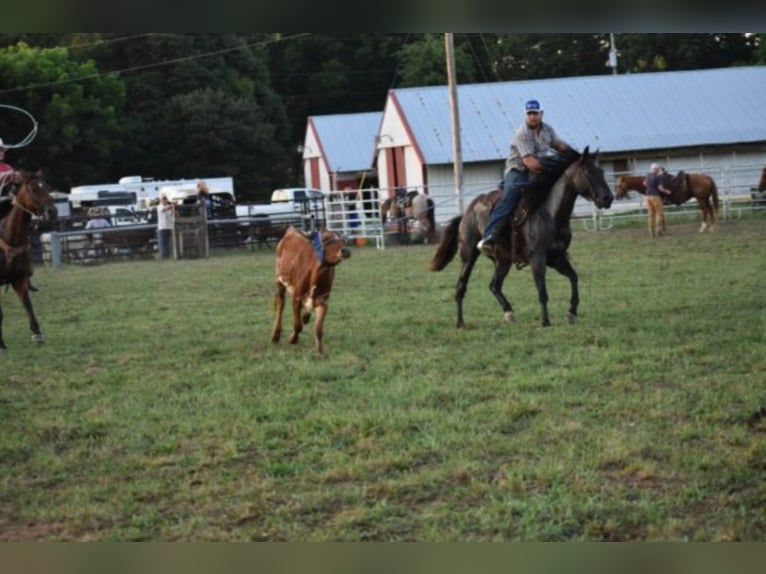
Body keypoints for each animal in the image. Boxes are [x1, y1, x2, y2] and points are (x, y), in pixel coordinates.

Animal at [0, 171, 56, 352]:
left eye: (47, 187)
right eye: (33, 189)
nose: (52, 211)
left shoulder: (19, 279)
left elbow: (28, 305)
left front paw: (37, 334)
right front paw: (1, 344)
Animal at [272, 226, 352, 354]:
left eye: (343, 240)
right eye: (325, 239)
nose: (346, 250)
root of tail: (290, 230)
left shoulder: (323, 301)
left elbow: (318, 329)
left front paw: (320, 351)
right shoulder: (296, 299)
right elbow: (297, 325)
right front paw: (292, 339)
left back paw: (305, 316)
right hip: (279, 281)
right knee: (280, 304)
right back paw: (275, 335)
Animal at [432, 146, 616, 330]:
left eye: (601, 170)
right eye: (588, 171)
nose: (608, 198)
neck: (550, 214)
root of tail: (466, 214)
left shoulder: (557, 257)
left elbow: (574, 277)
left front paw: (571, 313)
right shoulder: (537, 258)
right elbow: (542, 291)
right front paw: (545, 321)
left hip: (503, 260)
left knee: (494, 286)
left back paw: (509, 313)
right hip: (468, 255)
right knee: (461, 287)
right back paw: (460, 323)